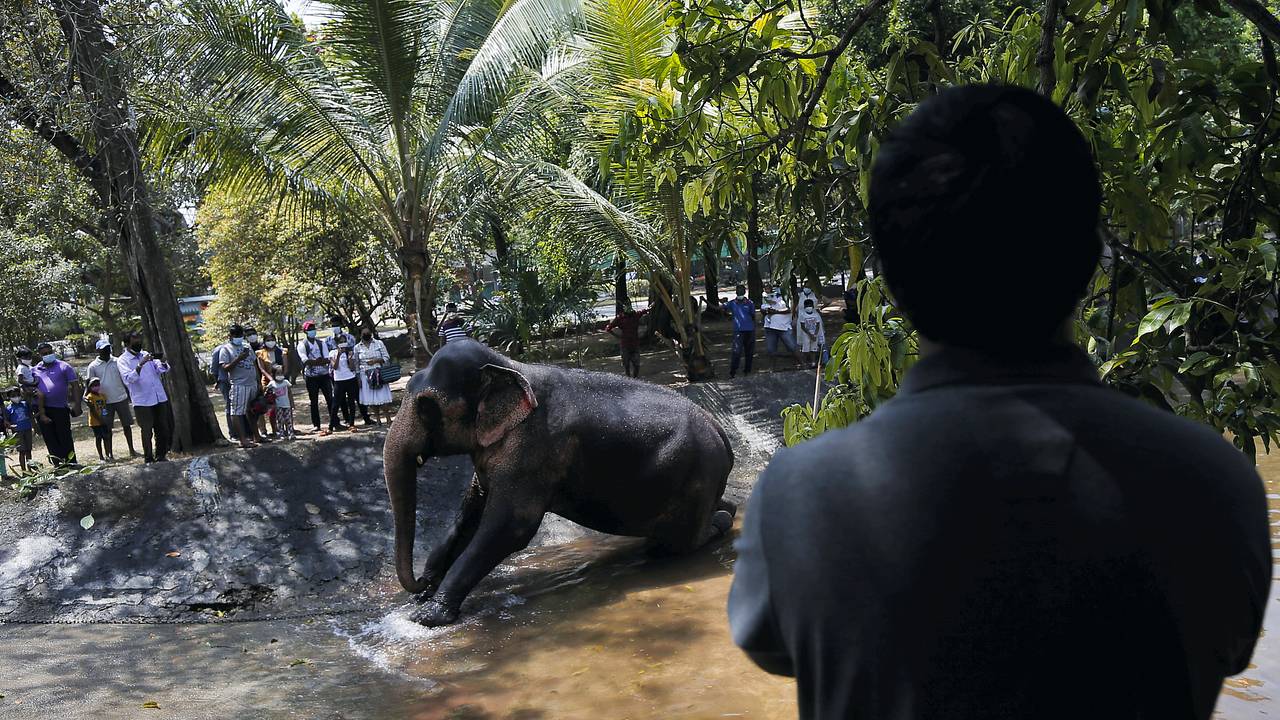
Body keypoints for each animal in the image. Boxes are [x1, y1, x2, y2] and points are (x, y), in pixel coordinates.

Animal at [384, 340, 737, 626]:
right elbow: (469, 514)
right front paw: (425, 594)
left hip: (698, 477)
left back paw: (706, 528)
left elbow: (510, 526)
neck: (508, 365)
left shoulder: (534, 448)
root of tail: (722, 432)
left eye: (426, 406)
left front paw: (426, 616)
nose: (420, 583)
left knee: (682, 541)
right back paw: (726, 510)